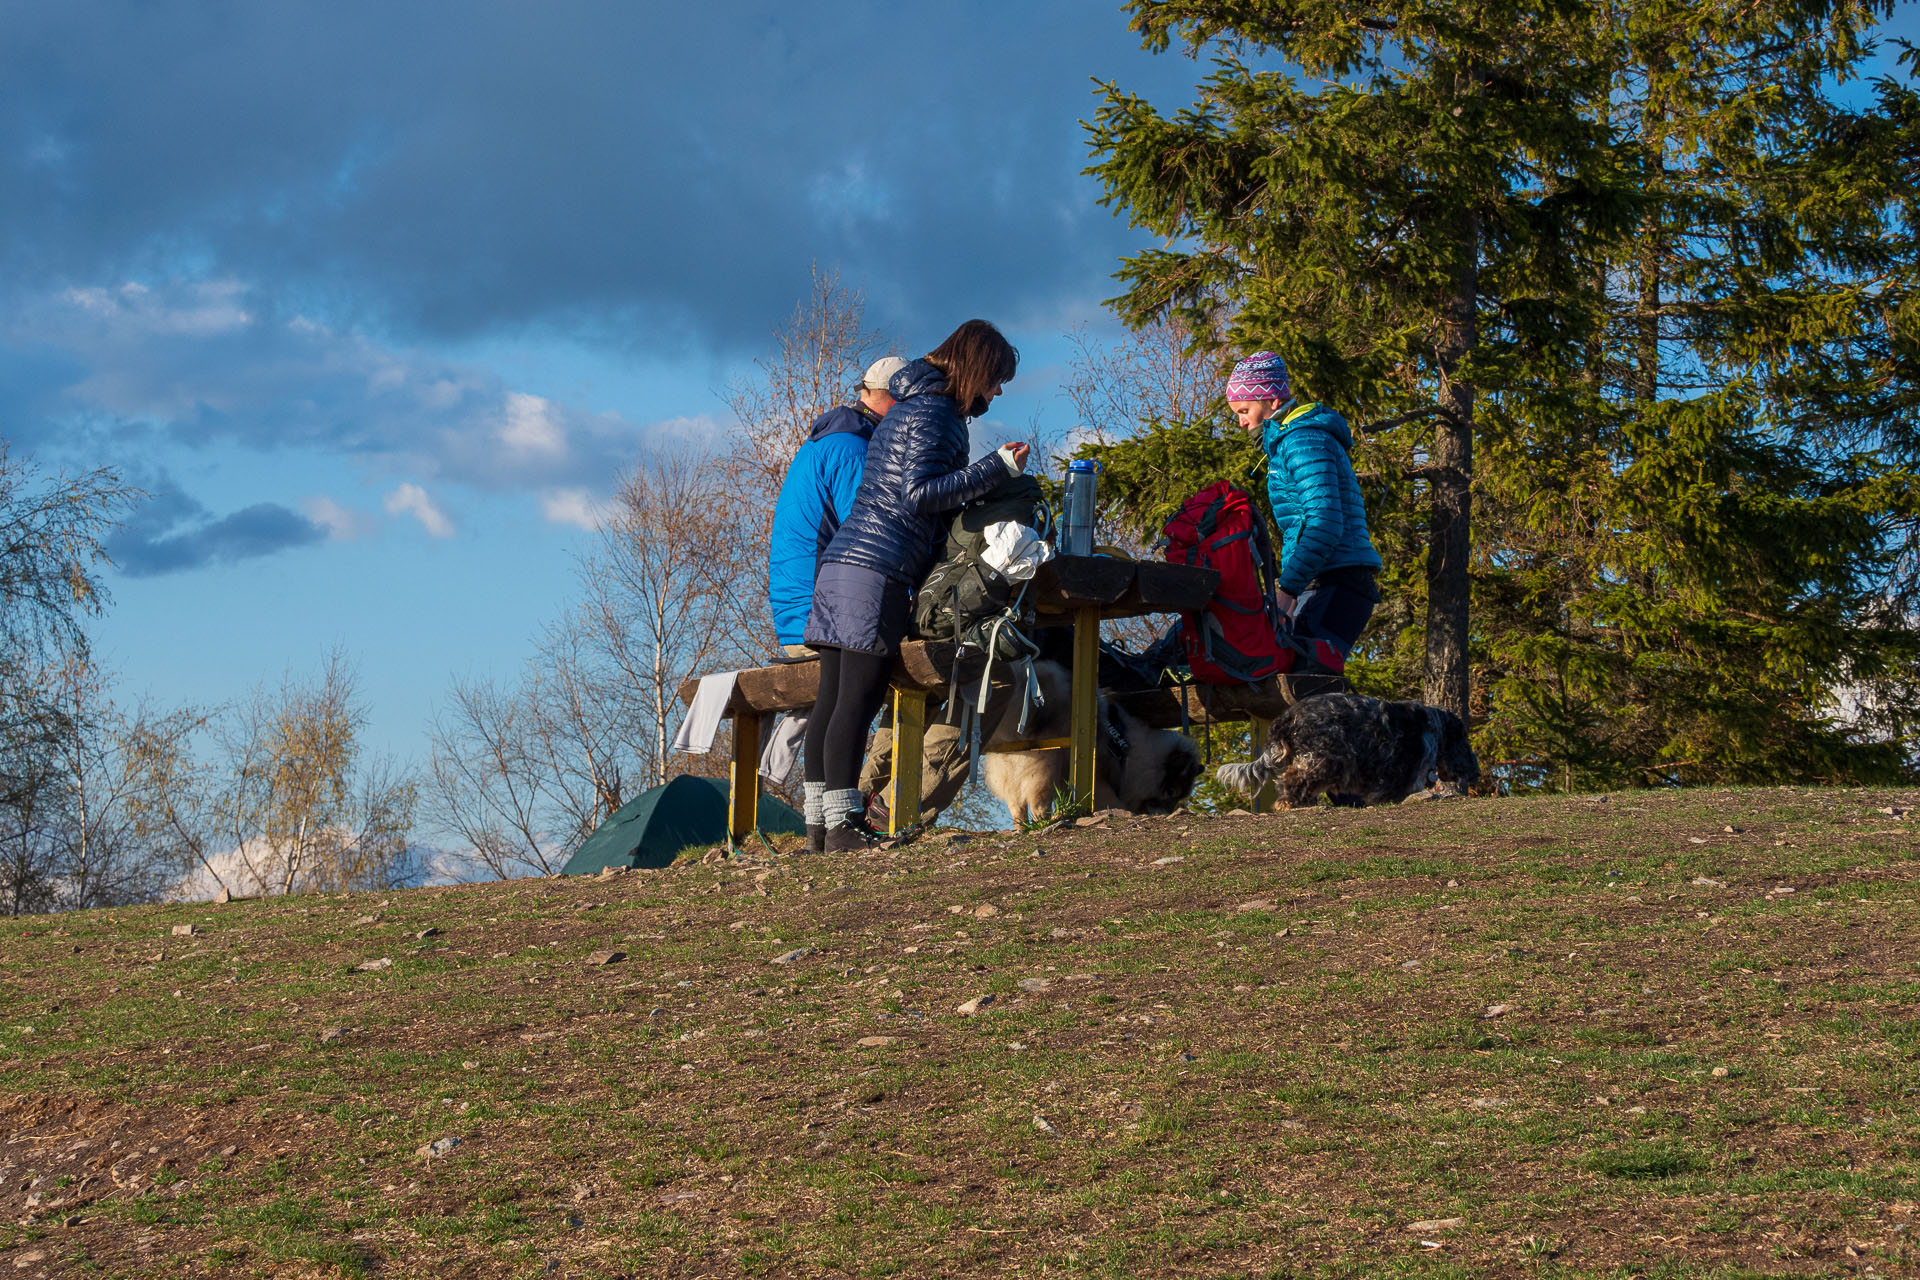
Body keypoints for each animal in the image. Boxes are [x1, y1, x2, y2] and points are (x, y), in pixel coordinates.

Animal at [1221, 694, 1474, 805]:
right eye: (1462, 740)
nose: (1473, 773)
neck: (1436, 728)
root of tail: (1285, 719)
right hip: (1329, 757)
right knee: (1295, 779)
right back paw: (1291, 801)